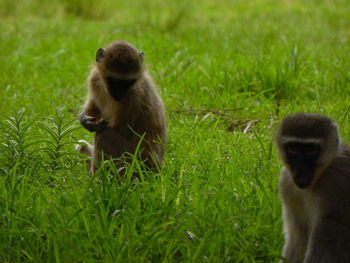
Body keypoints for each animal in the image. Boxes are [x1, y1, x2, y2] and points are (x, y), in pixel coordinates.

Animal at [77, 40, 167, 173]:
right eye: (114, 81)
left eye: (128, 83)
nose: (119, 94)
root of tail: (156, 168)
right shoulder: (95, 77)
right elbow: (95, 105)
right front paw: (85, 119)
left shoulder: (133, 97)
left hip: (135, 166)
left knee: (103, 135)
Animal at [274, 113, 350, 263]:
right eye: (293, 148)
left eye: (310, 150)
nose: (300, 169)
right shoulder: (286, 182)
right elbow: (297, 237)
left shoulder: (336, 188)